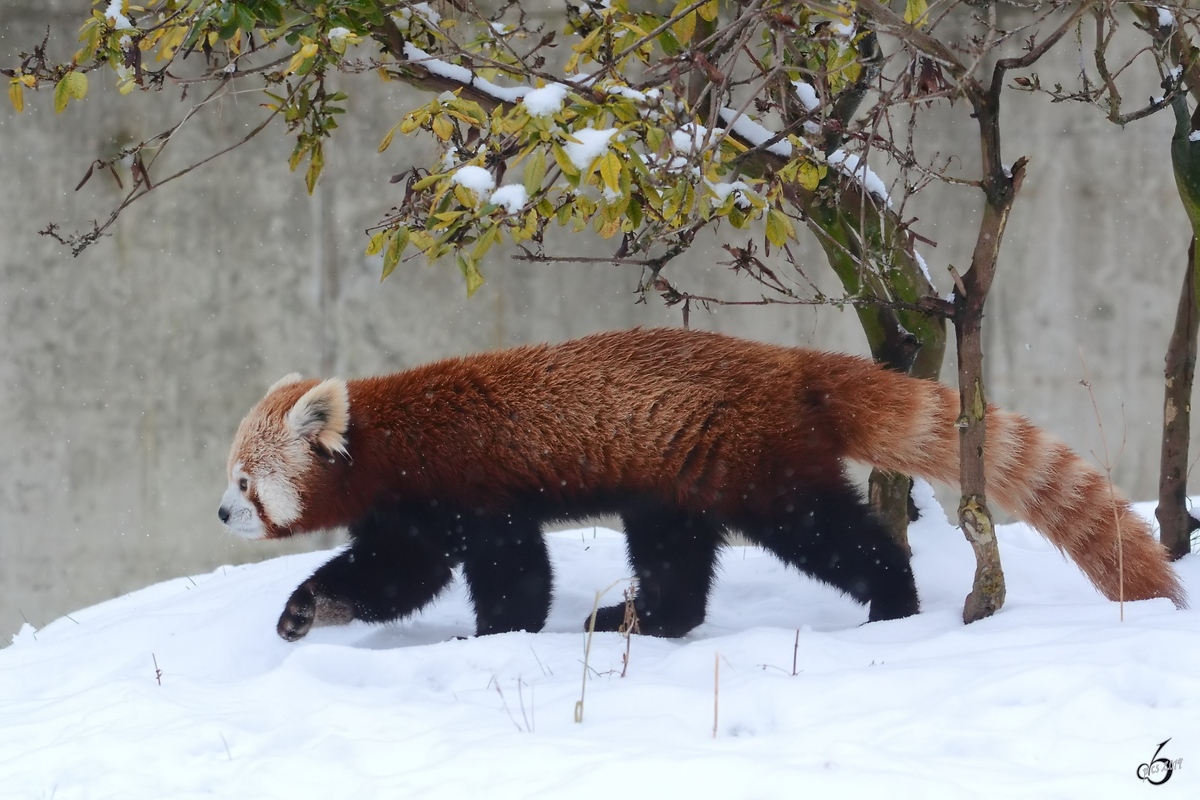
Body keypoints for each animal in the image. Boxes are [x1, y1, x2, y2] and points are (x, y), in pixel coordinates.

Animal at [216, 323, 1180, 638]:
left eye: (246, 480)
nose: (222, 512)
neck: (384, 436)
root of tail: (791, 365)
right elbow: (407, 575)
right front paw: (311, 611)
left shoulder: (458, 483)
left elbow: (489, 573)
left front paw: (491, 638)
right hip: (673, 481)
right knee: (677, 565)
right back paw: (637, 620)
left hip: (757, 467)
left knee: (831, 537)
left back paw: (892, 606)